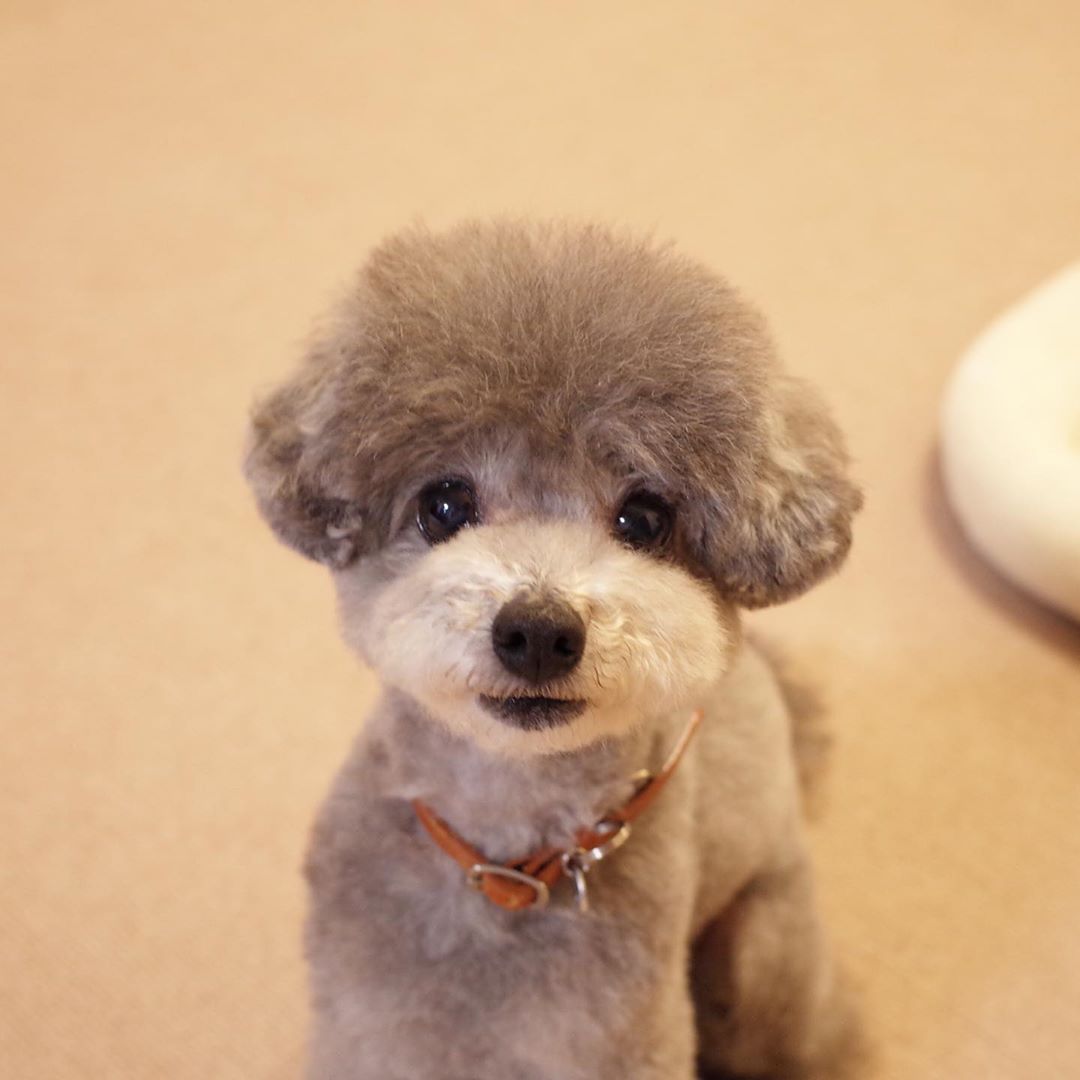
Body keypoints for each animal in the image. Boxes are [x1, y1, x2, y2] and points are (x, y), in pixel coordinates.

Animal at [243, 221, 859, 1080]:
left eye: (645, 518)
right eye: (444, 504)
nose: (537, 630)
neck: (503, 863)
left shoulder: (615, 1040)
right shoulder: (370, 1025)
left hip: (765, 960)